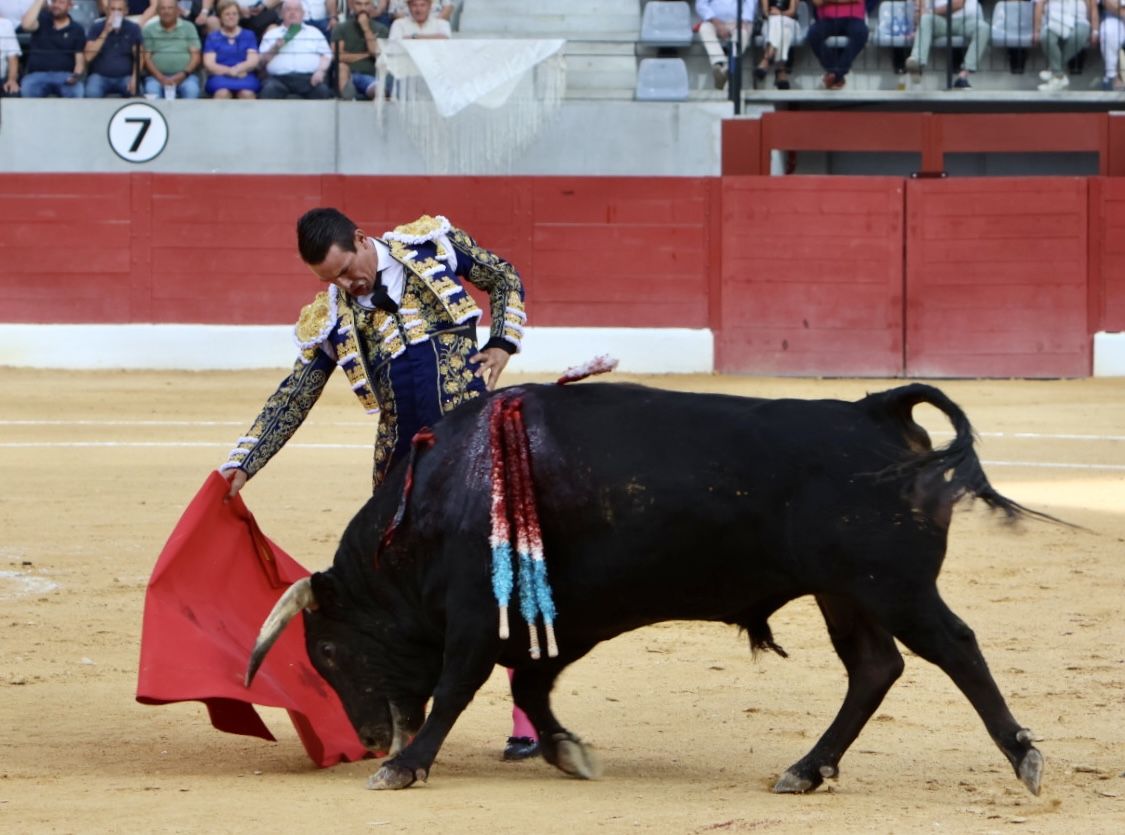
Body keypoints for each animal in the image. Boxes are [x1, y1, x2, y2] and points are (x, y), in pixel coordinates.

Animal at [244, 382, 1044, 796]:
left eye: (327, 650)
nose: (369, 739)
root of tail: (873, 408)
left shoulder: (478, 614)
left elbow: (458, 685)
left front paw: (406, 767)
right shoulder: (559, 621)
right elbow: (530, 685)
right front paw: (568, 752)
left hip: (893, 585)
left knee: (954, 646)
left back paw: (1023, 758)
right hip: (845, 592)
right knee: (874, 667)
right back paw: (804, 769)